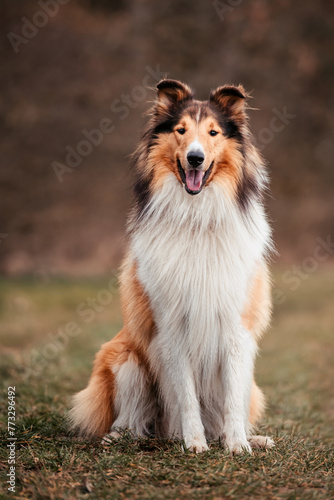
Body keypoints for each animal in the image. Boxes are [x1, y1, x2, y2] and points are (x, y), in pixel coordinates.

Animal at [70, 80, 274, 456]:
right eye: (181, 130)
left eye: (213, 132)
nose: (195, 157)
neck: (196, 217)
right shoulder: (172, 325)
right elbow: (187, 395)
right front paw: (194, 443)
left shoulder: (236, 327)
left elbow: (231, 400)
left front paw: (238, 444)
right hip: (123, 359)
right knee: (136, 421)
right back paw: (126, 436)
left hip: (251, 385)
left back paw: (249, 437)